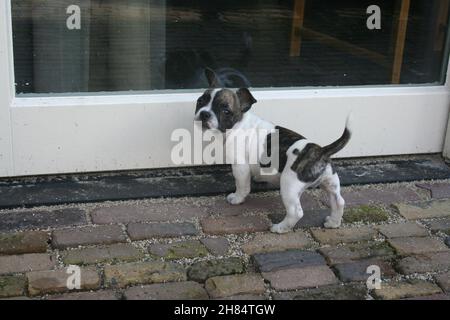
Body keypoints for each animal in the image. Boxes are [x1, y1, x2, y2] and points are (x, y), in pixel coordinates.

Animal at [195, 69, 354, 234]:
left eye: (225, 110)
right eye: (200, 101)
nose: (204, 114)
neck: (240, 122)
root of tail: (321, 151)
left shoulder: (240, 167)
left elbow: (242, 185)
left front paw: (237, 198)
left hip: (289, 186)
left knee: (296, 212)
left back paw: (280, 228)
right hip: (330, 181)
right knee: (339, 201)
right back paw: (333, 222)